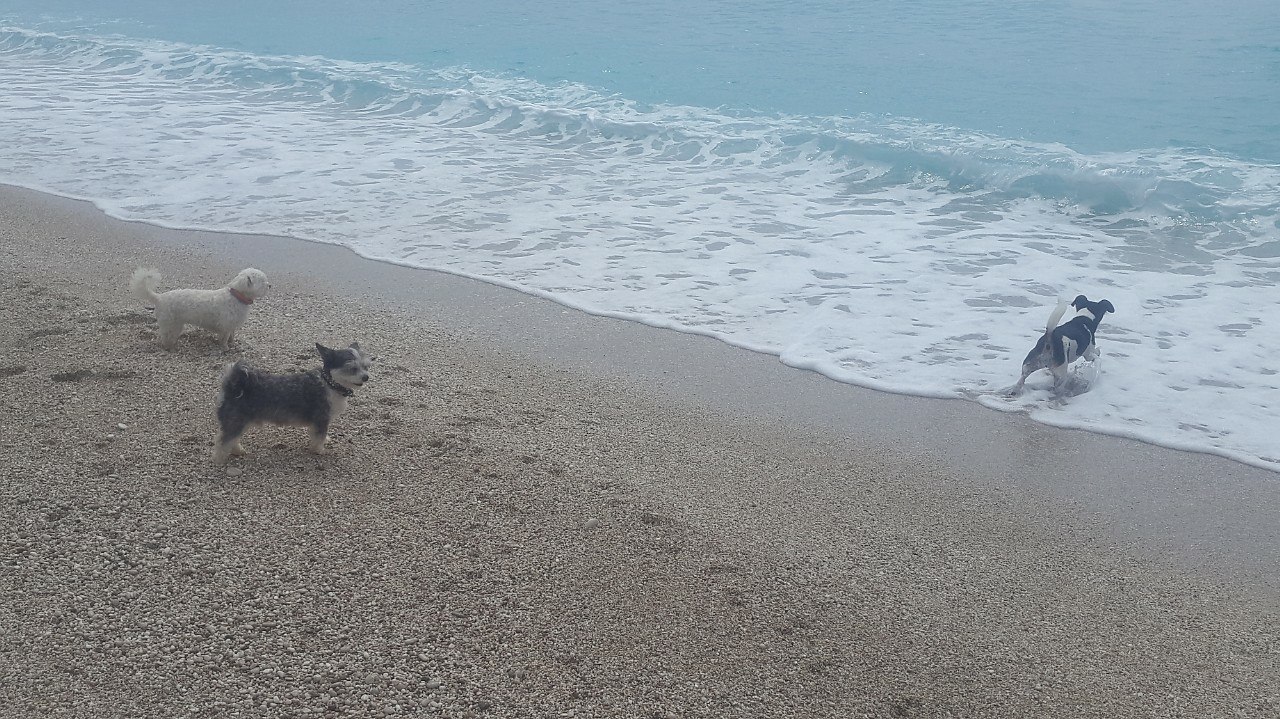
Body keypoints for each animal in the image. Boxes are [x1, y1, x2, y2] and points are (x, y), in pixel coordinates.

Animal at [131, 267, 270, 350]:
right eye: (263, 282)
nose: (270, 286)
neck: (236, 296)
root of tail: (159, 297)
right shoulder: (225, 326)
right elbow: (224, 339)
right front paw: (225, 348)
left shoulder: (232, 326)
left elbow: (232, 335)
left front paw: (232, 343)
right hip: (170, 323)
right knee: (165, 336)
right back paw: (169, 347)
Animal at [213, 342, 373, 464]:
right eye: (352, 368)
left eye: (366, 366)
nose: (366, 377)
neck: (330, 384)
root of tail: (232, 386)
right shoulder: (321, 419)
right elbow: (319, 436)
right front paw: (319, 450)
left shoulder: (319, 422)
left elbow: (318, 435)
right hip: (236, 421)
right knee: (223, 440)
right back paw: (220, 459)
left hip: (239, 423)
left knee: (232, 439)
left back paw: (237, 451)